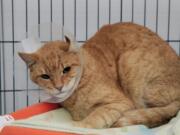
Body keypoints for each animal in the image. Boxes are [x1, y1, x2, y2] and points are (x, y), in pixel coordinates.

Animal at [18, 22, 180, 128]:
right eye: (45, 76)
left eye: (66, 69)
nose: (59, 87)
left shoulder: (120, 102)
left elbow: (95, 116)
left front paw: (81, 126)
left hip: (130, 64)